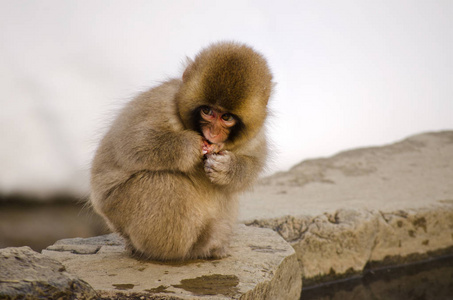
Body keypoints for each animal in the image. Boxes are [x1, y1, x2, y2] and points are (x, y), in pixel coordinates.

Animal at [88, 41, 272, 260]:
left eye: (226, 117)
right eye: (207, 111)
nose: (212, 133)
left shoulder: (256, 136)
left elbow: (253, 165)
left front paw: (226, 168)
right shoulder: (159, 103)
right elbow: (131, 143)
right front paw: (189, 146)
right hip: (117, 205)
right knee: (166, 185)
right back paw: (197, 247)